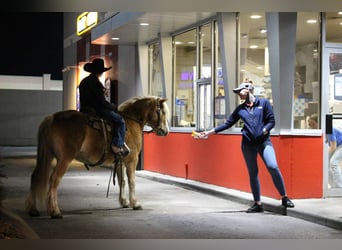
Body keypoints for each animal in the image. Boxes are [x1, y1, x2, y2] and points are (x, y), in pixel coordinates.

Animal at [25, 95, 170, 219]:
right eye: (162, 112)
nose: (165, 131)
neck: (131, 121)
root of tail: (52, 118)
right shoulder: (132, 160)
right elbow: (131, 181)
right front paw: (135, 203)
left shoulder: (120, 161)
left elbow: (122, 181)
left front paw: (124, 201)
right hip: (64, 159)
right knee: (54, 180)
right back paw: (55, 211)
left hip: (47, 155)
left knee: (36, 176)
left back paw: (33, 209)